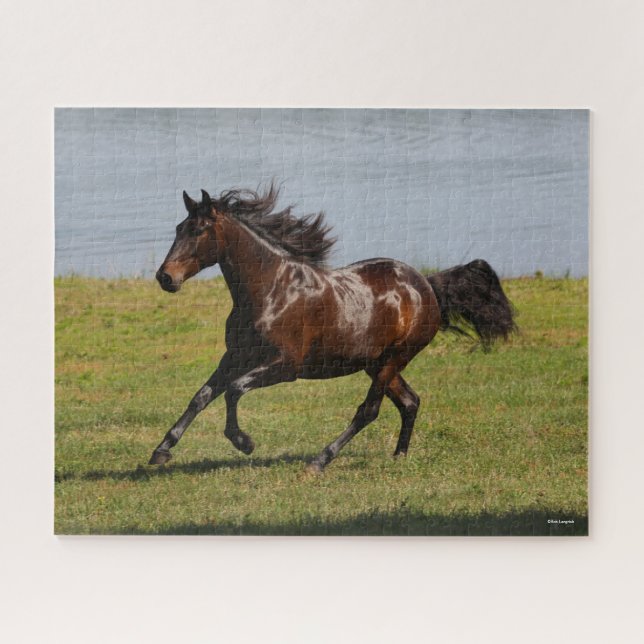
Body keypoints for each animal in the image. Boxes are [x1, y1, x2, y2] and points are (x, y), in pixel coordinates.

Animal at [149, 184, 516, 472]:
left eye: (198, 230)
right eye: (179, 227)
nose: (165, 277)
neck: (271, 291)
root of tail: (426, 285)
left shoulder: (286, 366)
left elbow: (234, 390)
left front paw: (244, 442)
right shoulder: (235, 356)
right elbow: (202, 396)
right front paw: (161, 450)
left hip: (395, 358)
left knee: (369, 410)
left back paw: (320, 461)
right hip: (377, 363)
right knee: (410, 401)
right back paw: (399, 456)